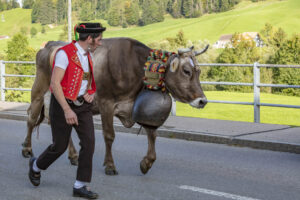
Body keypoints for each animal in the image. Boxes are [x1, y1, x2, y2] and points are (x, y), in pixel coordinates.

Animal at [21, 37, 209, 175]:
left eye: (198, 71)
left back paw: (73, 155)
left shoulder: (136, 106)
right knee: (31, 117)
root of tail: (50, 44)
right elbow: (109, 135)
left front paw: (146, 163)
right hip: (39, 90)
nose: (203, 101)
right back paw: (27, 149)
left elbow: (152, 134)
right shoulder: (106, 103)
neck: (134, 67)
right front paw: (110, 166)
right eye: (186, 71)